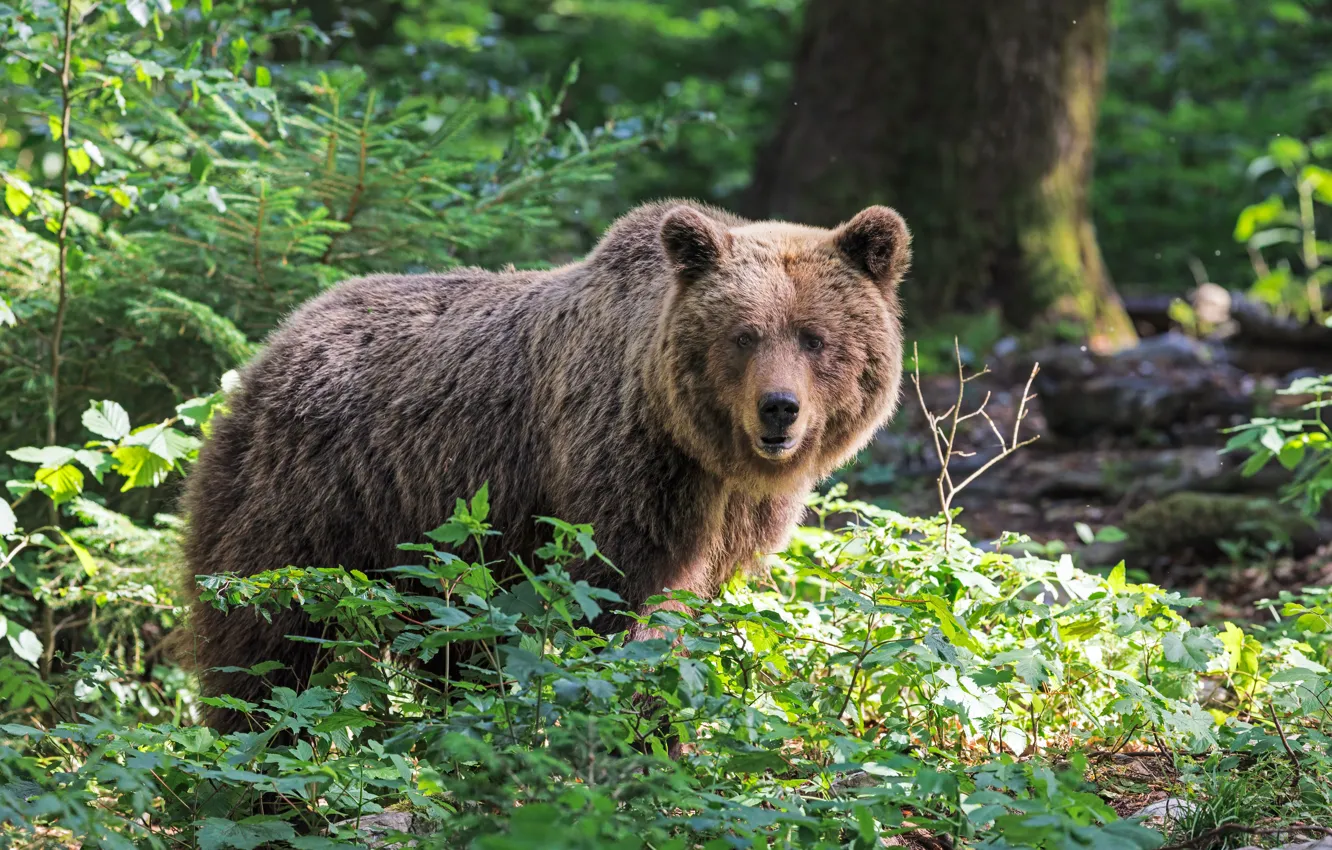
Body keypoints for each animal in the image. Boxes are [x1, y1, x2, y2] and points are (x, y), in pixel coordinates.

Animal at [180, 199, 910, 731]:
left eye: (814, 337)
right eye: (744, 335)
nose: (779, 409)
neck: (699, 449)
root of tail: (274, 341)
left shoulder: (733, 517)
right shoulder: (621, 474)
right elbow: (620, 606)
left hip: (434, 548)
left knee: (457, 647)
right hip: (311, 498)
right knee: (264, 643)